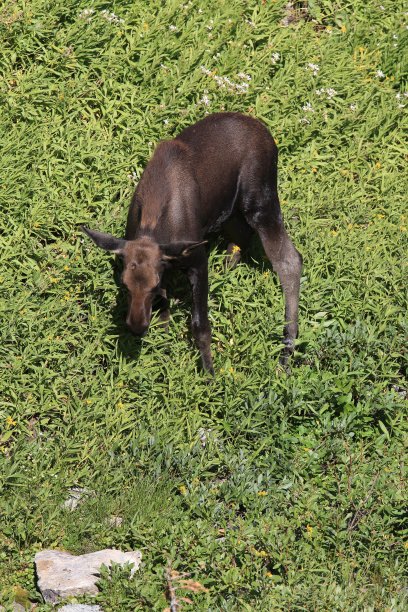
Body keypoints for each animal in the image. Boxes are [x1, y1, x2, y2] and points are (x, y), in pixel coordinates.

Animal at [82, 112, 302, 376]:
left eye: (152, 284)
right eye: (124, 284)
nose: (137, 326)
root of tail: (267, 133)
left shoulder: (197, 260)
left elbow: (200, 325)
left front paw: (209, 374)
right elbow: (164, 315)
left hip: (261, 201)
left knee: (290, 260)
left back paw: (287, 352)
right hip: (231, 210)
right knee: (241, 237)